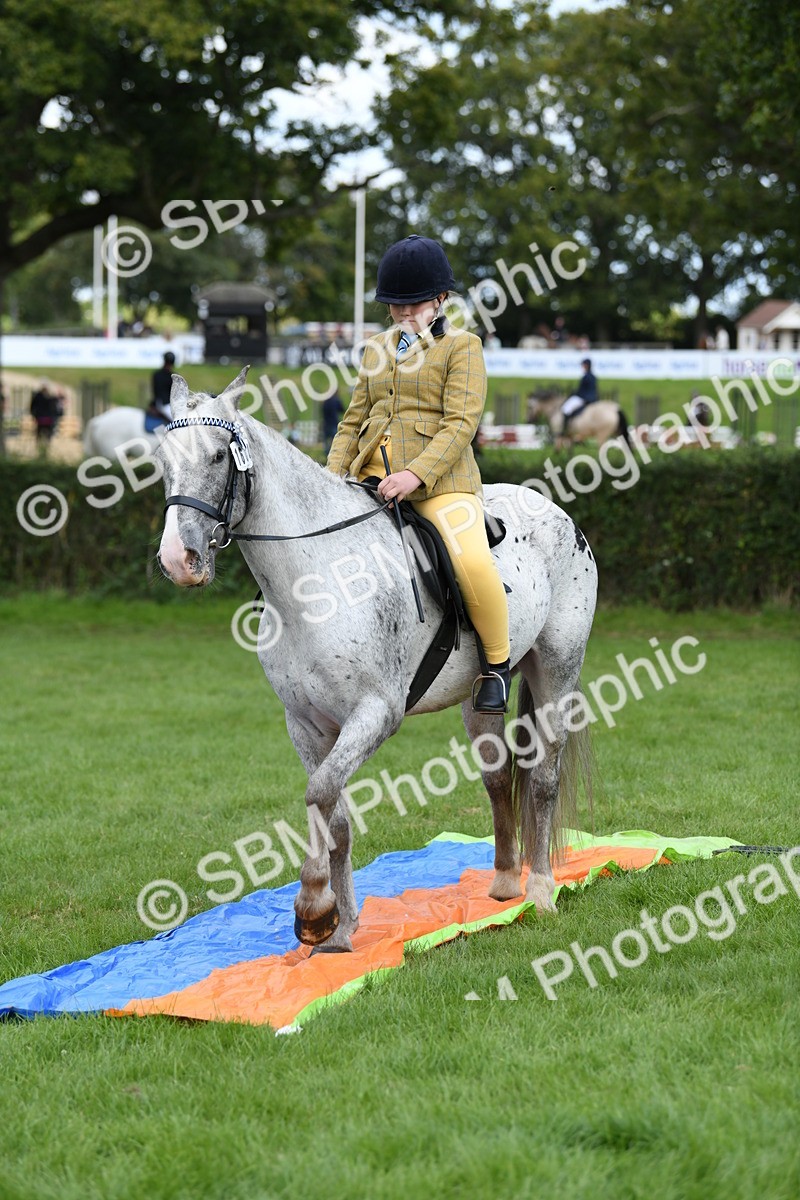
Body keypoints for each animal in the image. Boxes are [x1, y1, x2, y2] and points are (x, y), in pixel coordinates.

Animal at [156, 369, 597, 952]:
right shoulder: (307, 725)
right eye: (162, 459)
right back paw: (504, 885)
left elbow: (319, 793)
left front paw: (312, 907)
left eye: (215, 458)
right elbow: (333, 815)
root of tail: (553, 509)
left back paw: (542, 891)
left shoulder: (374, 714)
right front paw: (340, 930)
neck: (314, 581)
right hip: (480, 697)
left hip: (557, 671)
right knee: (498, 775)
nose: (177, 561)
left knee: (543, 778)